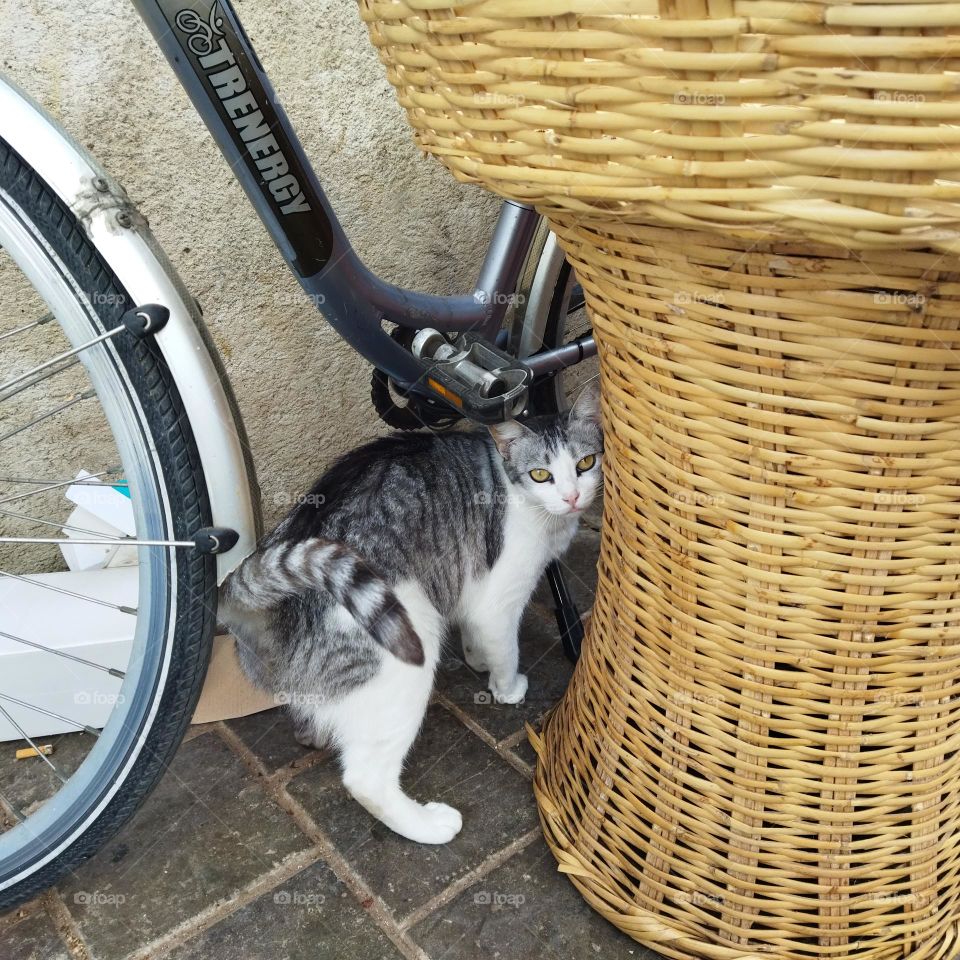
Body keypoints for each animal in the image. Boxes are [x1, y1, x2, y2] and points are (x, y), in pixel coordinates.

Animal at [221, 386, 604, 844]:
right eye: (541, 475)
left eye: (585, 464)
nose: (572, 497)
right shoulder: (500, 600)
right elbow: (506, 649)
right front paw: (507, 687)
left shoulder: (470, 584)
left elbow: (476, 631)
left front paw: (477, 658)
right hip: (407, 647)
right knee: (365, 780)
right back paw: (429, 825)